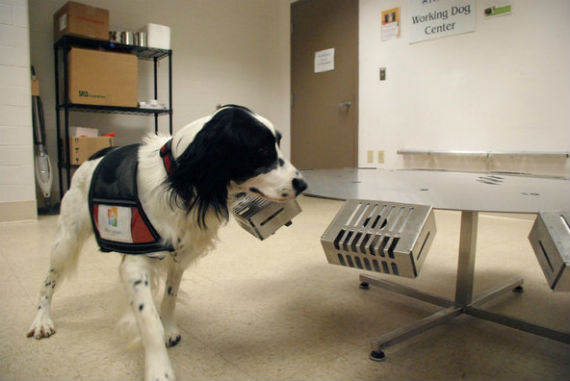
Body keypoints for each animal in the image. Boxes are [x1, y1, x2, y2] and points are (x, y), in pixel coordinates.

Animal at [27, 105, 306, 378]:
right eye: (261, 149)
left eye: (277, 143)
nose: (303, 183)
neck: (180, 181)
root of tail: (97, 153)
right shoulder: (136, 264)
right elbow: (149, 319)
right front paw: (159, 368)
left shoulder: (178, 255)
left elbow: (170, 296)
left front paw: (169, 327)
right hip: (66, 240)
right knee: (47, 283)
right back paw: (41, 320)